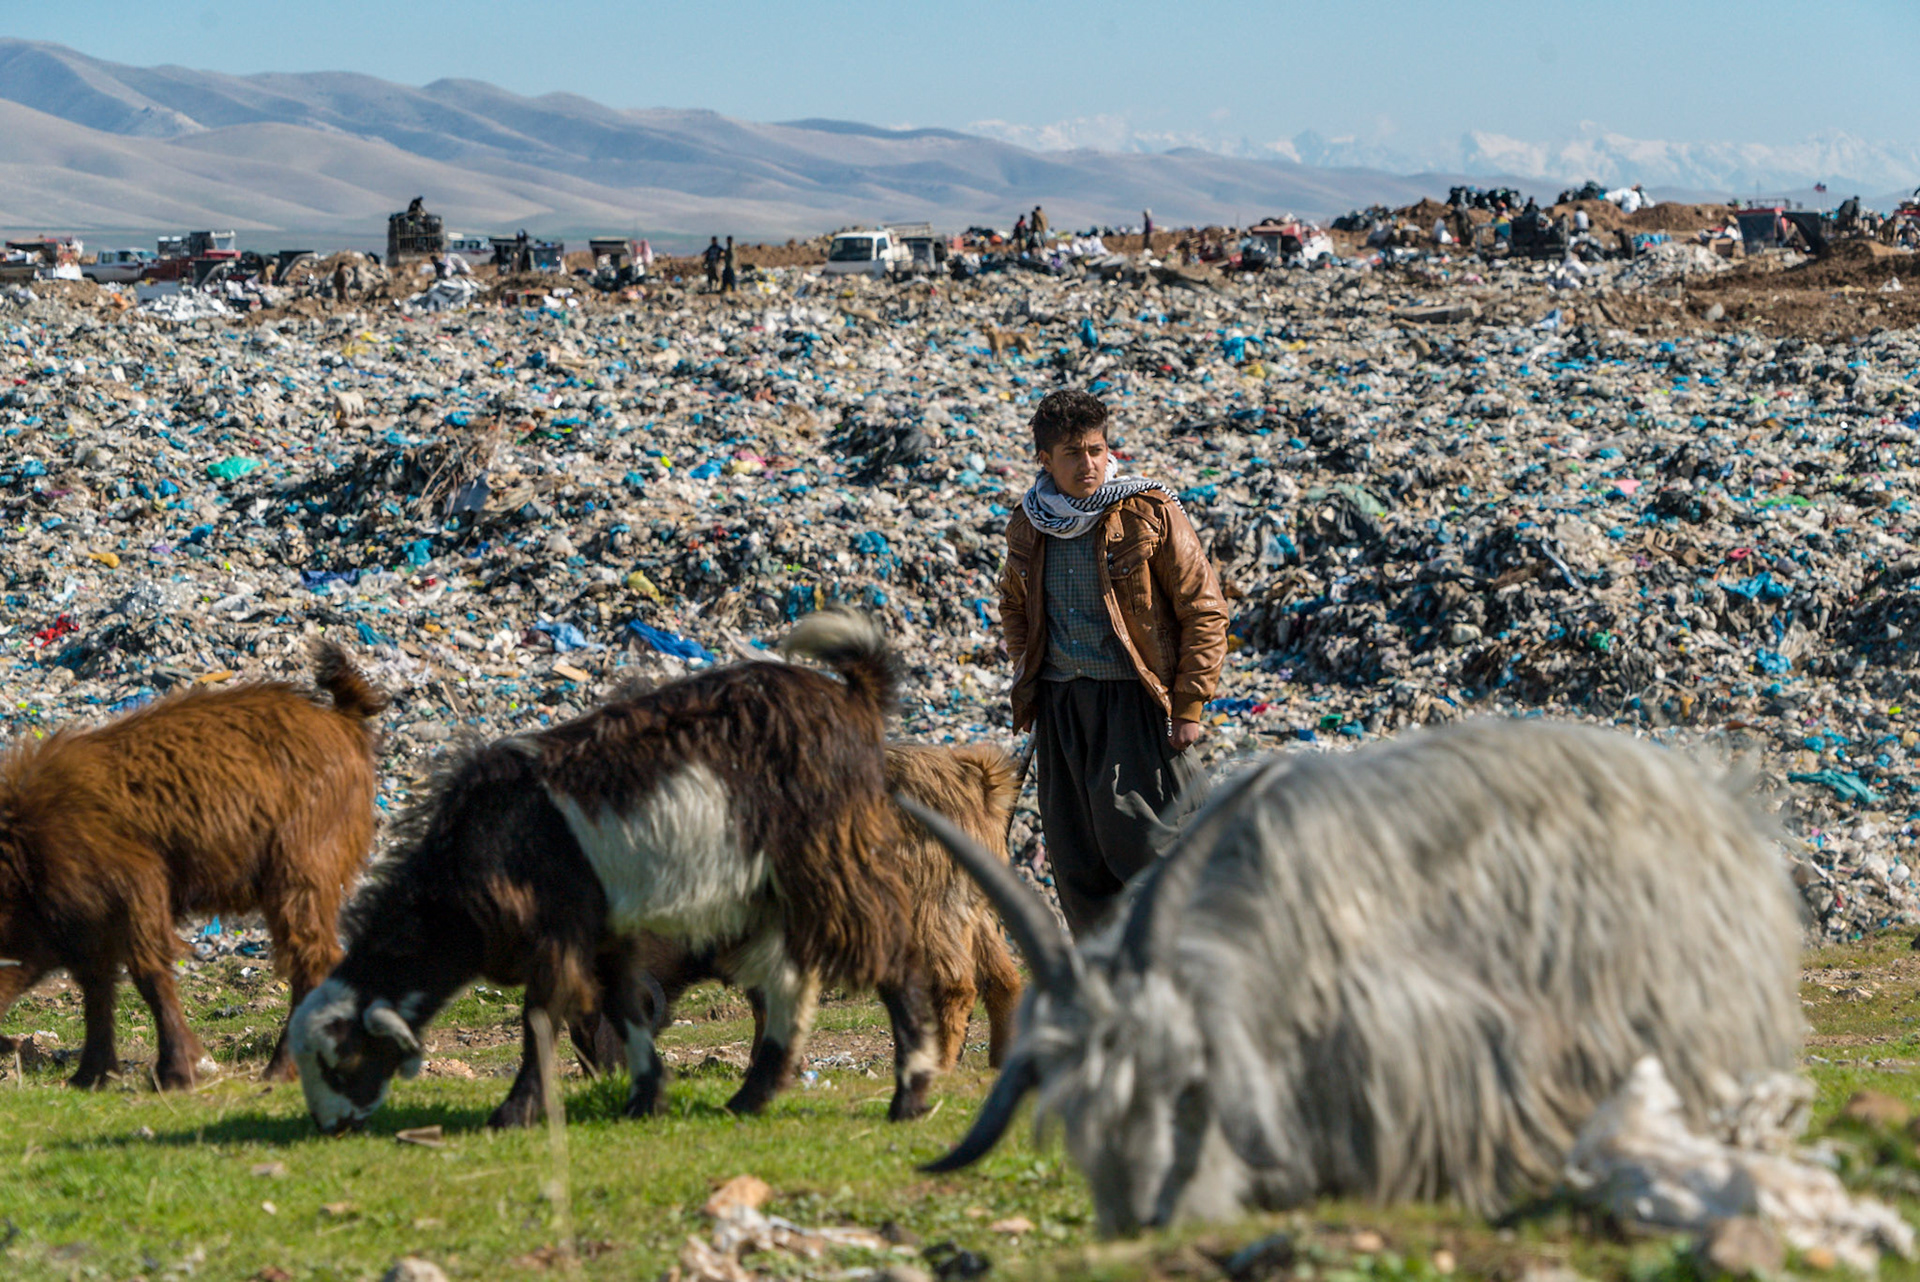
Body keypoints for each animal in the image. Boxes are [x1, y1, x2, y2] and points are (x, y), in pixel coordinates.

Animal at [0, 643, 386, 1089]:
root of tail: (342, 719)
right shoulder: (89, 921)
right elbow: (97, 987)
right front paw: (91, 1074)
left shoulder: (135, 889)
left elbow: (148, 975)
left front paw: (175, 1071)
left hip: (301, 872)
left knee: (311, 960)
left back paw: (280, 1069)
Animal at [289, 610, 934, 1133]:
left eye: (338, 1058)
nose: (331, 1126)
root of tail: (854, 696)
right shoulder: (608, 936)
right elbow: (626, 1013)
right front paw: (644, 1099)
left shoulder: (558, 931)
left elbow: (540, 1020)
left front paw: (514, 1113)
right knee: (789, 988)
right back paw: (749, 1099)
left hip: (831, 863)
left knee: (895, 961)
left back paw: (909, 1097)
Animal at [533, 741, 1024, 1126]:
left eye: (592, 1017)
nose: (598, 1076)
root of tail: (970, 775)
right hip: (973, 910)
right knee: (1004, 978)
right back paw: (1000, 1060)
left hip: (929, 911)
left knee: (956, 986)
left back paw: (942, 1064)